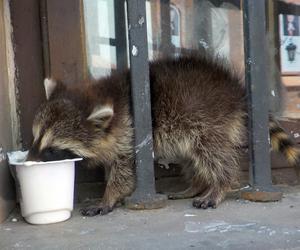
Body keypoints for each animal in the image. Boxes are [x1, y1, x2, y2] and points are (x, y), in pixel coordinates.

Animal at [27, 54, 298, 217]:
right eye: (35, 138)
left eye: (52, 149)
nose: (29, 161)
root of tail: (236, 90)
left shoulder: (129, 136)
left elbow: (124, 175)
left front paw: (108, 196)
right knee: (191, 157)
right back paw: (196, 184)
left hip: (208, 120)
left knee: (213, 155)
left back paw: (219, 185)